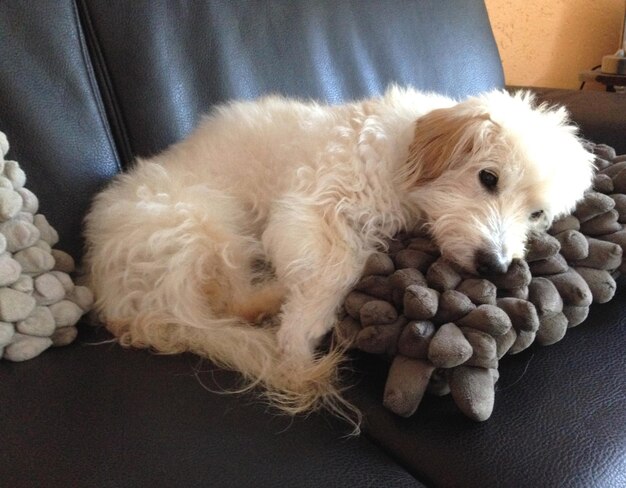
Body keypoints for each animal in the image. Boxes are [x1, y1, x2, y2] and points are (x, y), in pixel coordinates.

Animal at [85, 86, 592, 418]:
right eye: (488, 177)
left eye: (537, 213)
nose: (497, 266)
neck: (403, 156)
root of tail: (120, 302)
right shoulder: (309, 208)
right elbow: (336, 268)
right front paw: (297, 339)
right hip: (209, 219)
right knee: (232, 299)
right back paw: (273, 302)